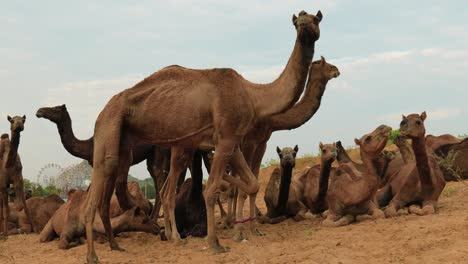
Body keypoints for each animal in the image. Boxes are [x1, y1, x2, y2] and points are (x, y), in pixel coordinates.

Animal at [79, 9, 322, 262]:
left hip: (130, 138)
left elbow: (252, 183)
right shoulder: (225, 139)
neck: (253, 94)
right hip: (109, 125)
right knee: (103, 175)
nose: (304, 25)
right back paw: (93, 255)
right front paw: (215, 243)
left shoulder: (232, 141)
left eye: (315, 19)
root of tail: (103, 111)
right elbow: (211, 189)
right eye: (298, 21)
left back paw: (158, 240)